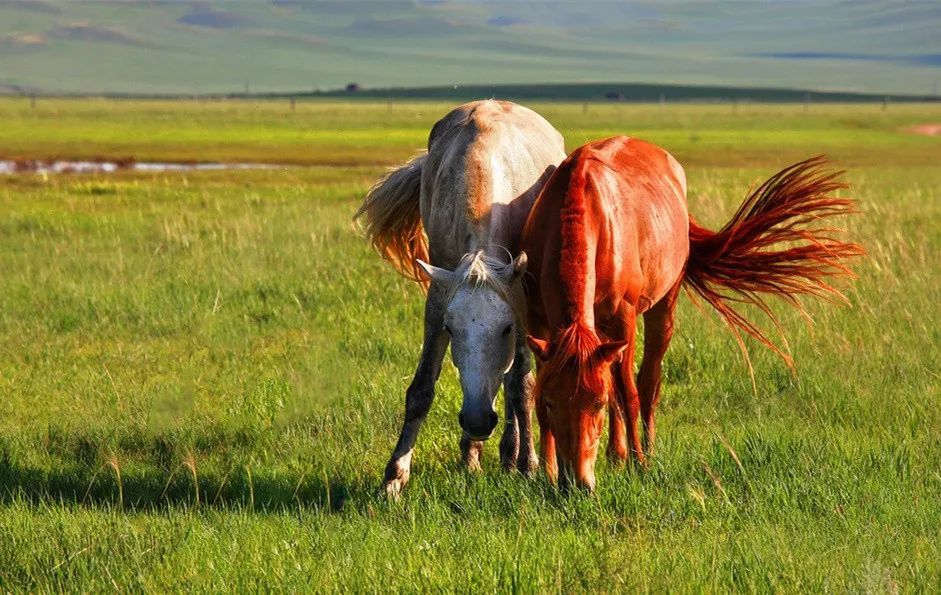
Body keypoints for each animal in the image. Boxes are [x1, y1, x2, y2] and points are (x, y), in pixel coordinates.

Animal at [356, 100, 564, 496]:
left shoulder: (520, 300)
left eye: (506, 328)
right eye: (451, 329)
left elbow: (522, 386)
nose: (478, 420)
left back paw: (511, 454)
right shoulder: (439, 297)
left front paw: (529, 465)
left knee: (513, 383)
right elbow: (422, 388)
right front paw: (395, 477)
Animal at [524, 137, 864, 492]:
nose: (576, 484)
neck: (587, 214)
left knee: (647, 383)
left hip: (663, 306)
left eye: (597, 404)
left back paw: (644, 453)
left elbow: (626, 394)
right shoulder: (540, 324)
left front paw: (638, 465)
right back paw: (616, 456)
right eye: (551, 401)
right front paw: (547, 471)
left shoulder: (622, 320)